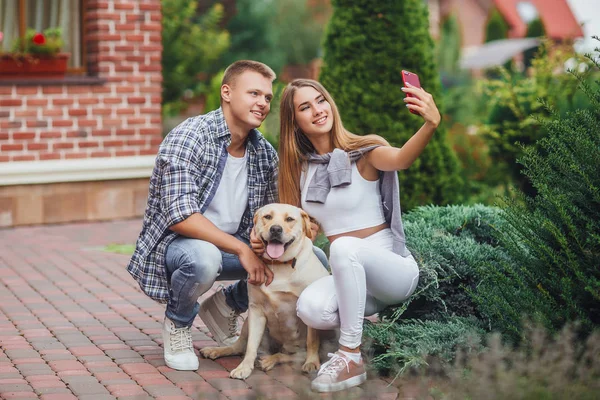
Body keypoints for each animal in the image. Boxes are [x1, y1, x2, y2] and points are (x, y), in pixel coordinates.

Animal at [199, 205, 328, 380]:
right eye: (267, 217)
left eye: (289, 219)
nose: (275, 229)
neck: (278, 264)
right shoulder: (256, 310)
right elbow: (251, 346)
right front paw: (244, 368)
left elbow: (312, 340)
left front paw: (312, 362)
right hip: (247, 324)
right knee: (239, 346)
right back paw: (217, 350)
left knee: (288, 355)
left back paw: (270, 360)